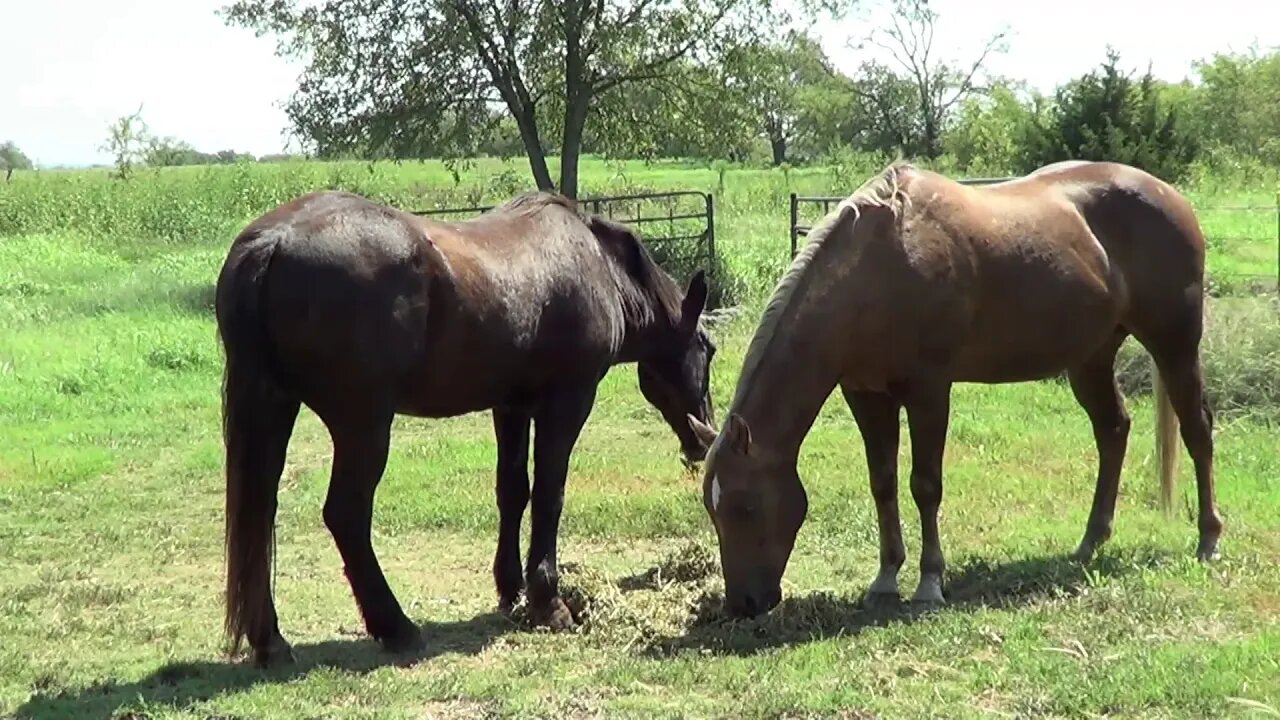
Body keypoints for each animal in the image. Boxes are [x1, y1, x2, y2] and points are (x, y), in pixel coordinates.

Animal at [220, 185, 721, 661]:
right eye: (709, 348)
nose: (702, 444)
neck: (599, 267)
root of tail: (274, 242)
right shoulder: (567, 402)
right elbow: (549, 495)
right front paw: (550, 604)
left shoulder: (512, 406)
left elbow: (513, 491)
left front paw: (511, 589)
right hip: (363, 425)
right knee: (345, 515)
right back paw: (396, 627)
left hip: (274, 411)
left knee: (260, 513)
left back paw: (271, 641)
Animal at [696, 159, 1223, 614]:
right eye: (711, 509)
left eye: (744, 507)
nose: (743, 604)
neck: (876, 270)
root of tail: (1173, 197)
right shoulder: (865, 394)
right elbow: (883, 482)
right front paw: (885, 579)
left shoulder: (929, 390)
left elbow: (925, 485)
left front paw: (930, 582)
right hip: (1091, 358)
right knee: (1113, 431)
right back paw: (1090, 541)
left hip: (1174, 344)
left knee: (1197, 430)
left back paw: (1208, 539)